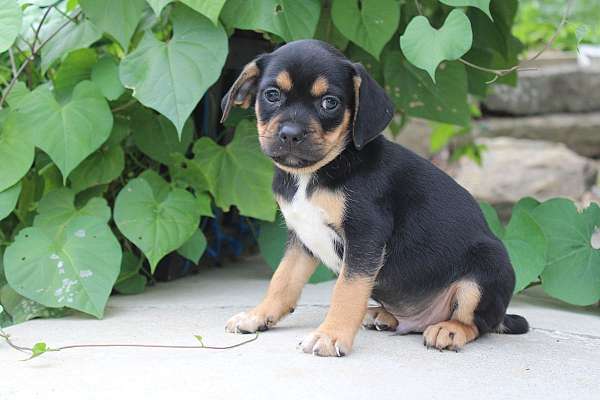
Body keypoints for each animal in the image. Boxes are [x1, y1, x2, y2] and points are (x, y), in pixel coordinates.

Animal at [223, 38, 528, 356]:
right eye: (271, 95)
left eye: (330, 102)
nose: (291, 134)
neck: (315, 174)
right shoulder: (301, 237)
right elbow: (282, 280)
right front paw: (257, 315)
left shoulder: (365, 235)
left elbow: (346, 289)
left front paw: (330, 335)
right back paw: (381, 315)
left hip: (487, 267)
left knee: (478, 323)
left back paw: (449, 329)